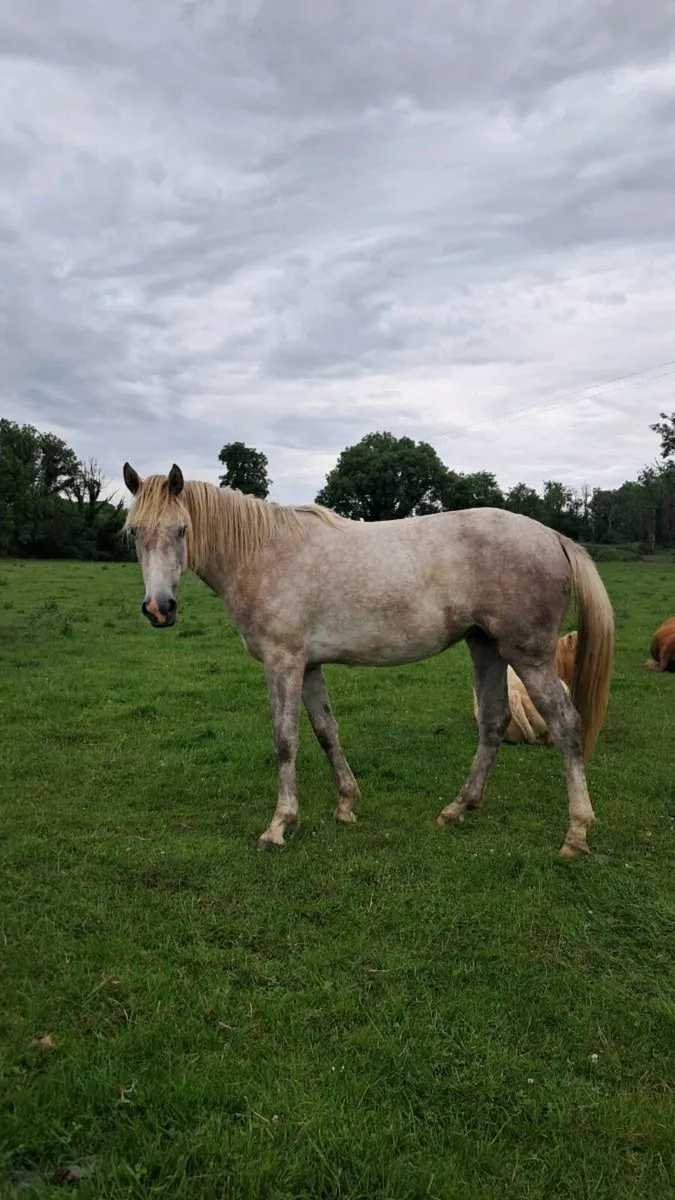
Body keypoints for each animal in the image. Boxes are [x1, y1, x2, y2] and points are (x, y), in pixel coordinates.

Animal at [122, 463, 614, 858]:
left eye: (181, 530)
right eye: (134, 532)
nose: (159, 609)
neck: (264, 553)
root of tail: (553, 537)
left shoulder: (283, 661)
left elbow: (285, 741)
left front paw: (279, 826)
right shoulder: (308, 665)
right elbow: (325, 732)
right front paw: (346, 804)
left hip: (527, 656)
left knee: (565, 724)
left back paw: (576, 835)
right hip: (486, 647)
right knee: (493, 722)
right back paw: (457, 809)